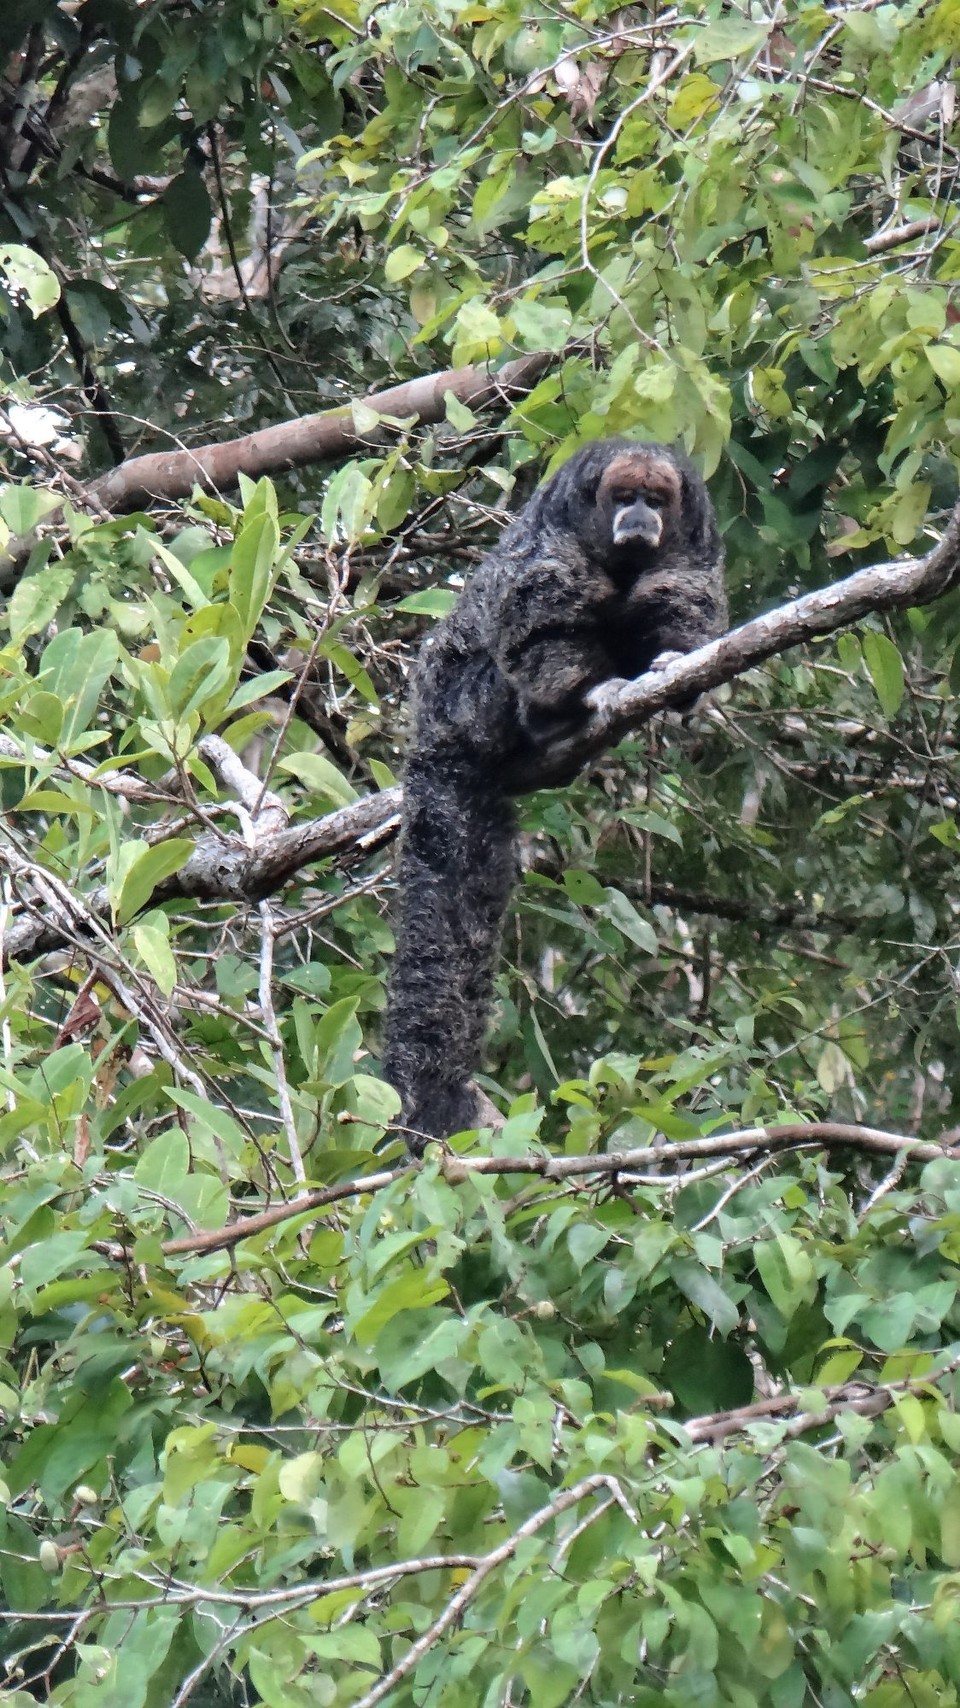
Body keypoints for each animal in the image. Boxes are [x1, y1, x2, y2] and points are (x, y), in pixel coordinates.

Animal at [377, 433, 720, 1154]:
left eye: (657, 501)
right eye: (625, 497)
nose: (639, 517)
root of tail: (431, 724)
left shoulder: (697, 538)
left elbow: (682, 596)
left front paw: (676, 666)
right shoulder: (555, 536)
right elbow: (540, 616)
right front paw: (586, 692)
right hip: (466, 704)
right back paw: (547, 725)